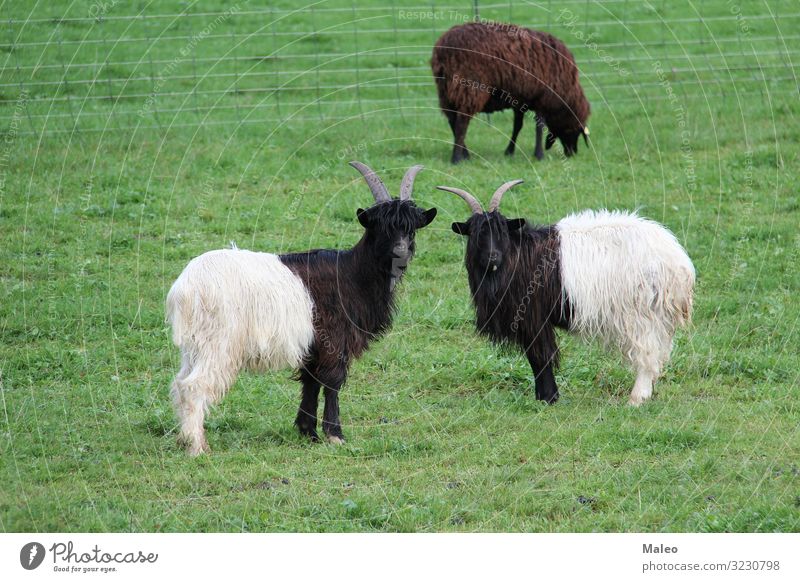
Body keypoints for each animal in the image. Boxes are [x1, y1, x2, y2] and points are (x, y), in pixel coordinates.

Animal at [164, 161, 438, 456]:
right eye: (382, 228)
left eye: (411, 229)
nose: (401, 254)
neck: (352, 273)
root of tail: (186, 287)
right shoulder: (334, 339)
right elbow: (332, 382)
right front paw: (335, 435)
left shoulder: (312, 345)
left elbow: (310, 382)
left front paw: (308, 431)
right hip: (220, 343)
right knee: (194, 385)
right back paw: (197, 446)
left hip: (194, 345)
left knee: (179, 382)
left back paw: (183, 439)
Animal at [432, 22, 592, 164]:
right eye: (574, 130)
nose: (572, 153)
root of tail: (444, 47)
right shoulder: (542, 98)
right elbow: (539, 127)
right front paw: (539, 155)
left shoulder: (520, 99)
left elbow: (518, 126)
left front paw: (509, 151)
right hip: (469, 88)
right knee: (461, 123)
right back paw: (457, 158)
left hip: (445, 90)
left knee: (452, 120)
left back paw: (466, 153)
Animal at [440, 181, 696, 406]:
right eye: (475, 233)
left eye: (502, 230)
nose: (493, 257)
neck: (517, 256)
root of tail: (679, 264)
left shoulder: (533, 316)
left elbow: (540, 357)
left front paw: (547, 398)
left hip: (640, 313)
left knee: (647, 353)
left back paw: (636, 399)